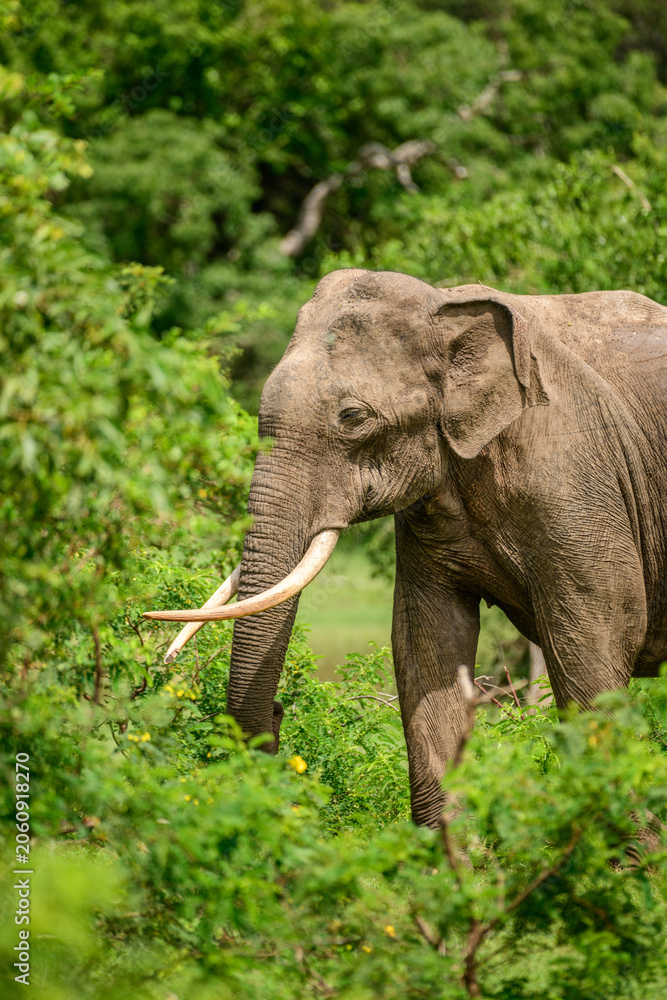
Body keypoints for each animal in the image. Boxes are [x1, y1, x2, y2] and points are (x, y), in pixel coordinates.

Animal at [144, 268, 667, 828]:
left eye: (353, 417)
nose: (280, 715)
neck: (445, 306)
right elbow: (426, 641)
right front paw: (449, 852)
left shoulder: (574, 479)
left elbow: (596, 641)